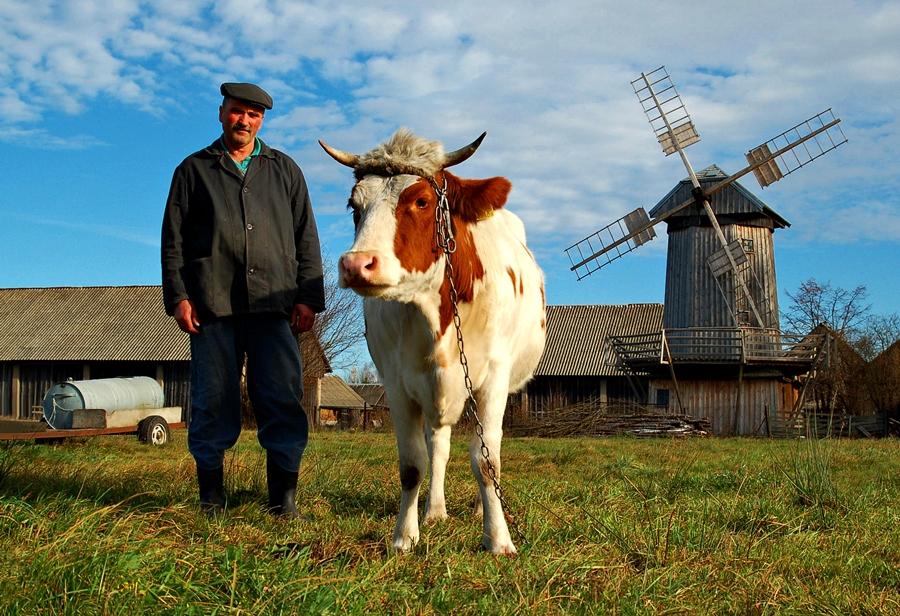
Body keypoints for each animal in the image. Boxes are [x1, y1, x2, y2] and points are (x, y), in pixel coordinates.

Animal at [322, 129, 548, 552]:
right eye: (354, 205)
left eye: (421, 201)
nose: (356, 264)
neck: (434, 314)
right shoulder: (397, 384)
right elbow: (413, 463)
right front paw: (404, 537)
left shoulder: (493, 379)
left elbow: (486, 460)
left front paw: (497, 538)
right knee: (438, 447)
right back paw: (435, 510)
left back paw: (477, 508)